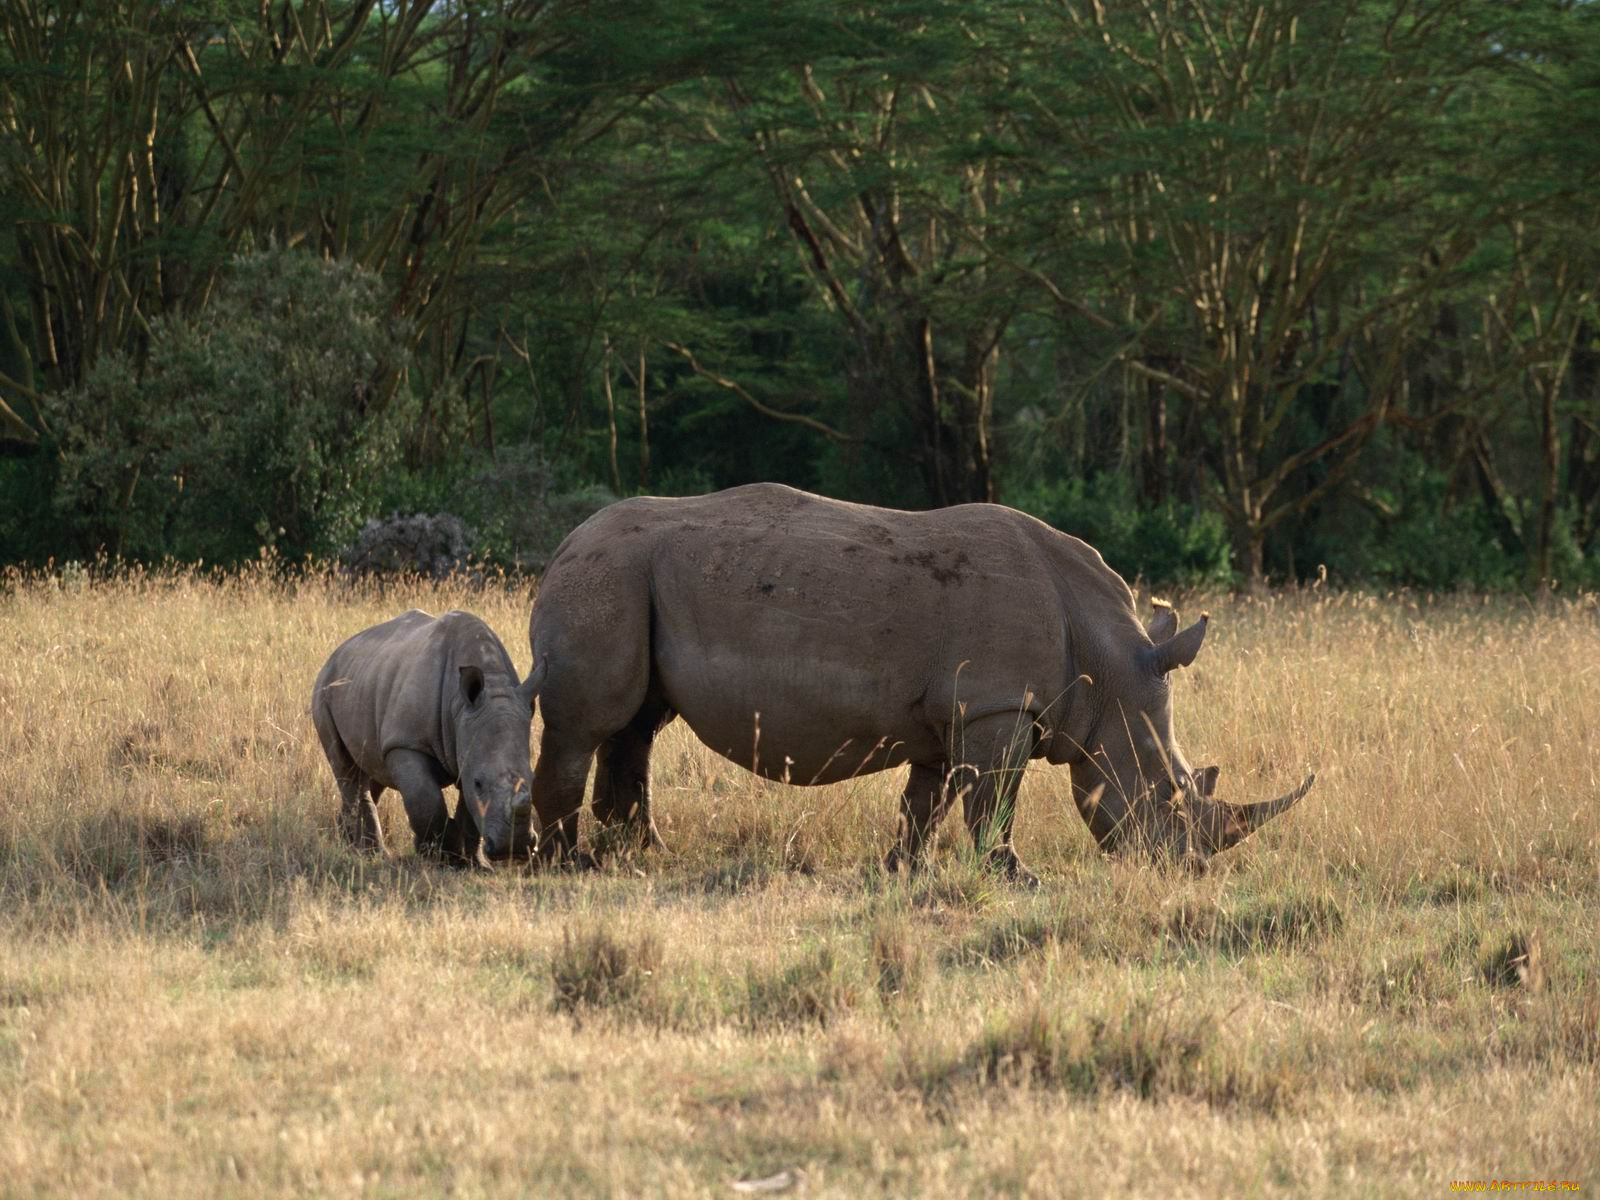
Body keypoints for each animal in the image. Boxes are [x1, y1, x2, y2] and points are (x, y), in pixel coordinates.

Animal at [312, 611, 550, 864]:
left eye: (534, 780)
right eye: (479, 783)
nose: (513, 849)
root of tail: (337, 651)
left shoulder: (468, 745)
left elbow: (469, 811)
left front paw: (474, 863)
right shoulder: (406, 744)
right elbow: (426, 802)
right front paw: (441, 854)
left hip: (364, 680)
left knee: (373, 767)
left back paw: (346, 839)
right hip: (324, 690)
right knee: (345, 767)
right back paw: (372, 854)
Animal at [524, 483, 1312, 876]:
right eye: (1168, 794)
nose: (1190, 871)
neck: (1109, 669)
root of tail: (564, 542)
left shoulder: (953, 716)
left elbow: (925, 804)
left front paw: (902, 870)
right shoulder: (996, 707)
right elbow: (993, 803)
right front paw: (1014, 876)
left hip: (631, 576)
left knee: (638, 725)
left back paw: (643, 856)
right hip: (606, 575)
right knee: (588, 724)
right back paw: (568, 865)